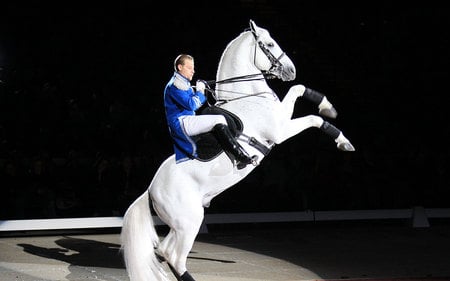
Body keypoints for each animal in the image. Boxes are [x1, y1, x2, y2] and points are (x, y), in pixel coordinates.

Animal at [120, 19, 356, 280]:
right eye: (269, 44)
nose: (290, 70)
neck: (248, 96)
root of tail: (151, 190)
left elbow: (299, 89)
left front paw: (328, 107)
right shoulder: (280, 129)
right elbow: (313, 118)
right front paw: (343, 140)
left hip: (180, 224)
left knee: (163, 251)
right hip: (188, 221)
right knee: (174, 256)